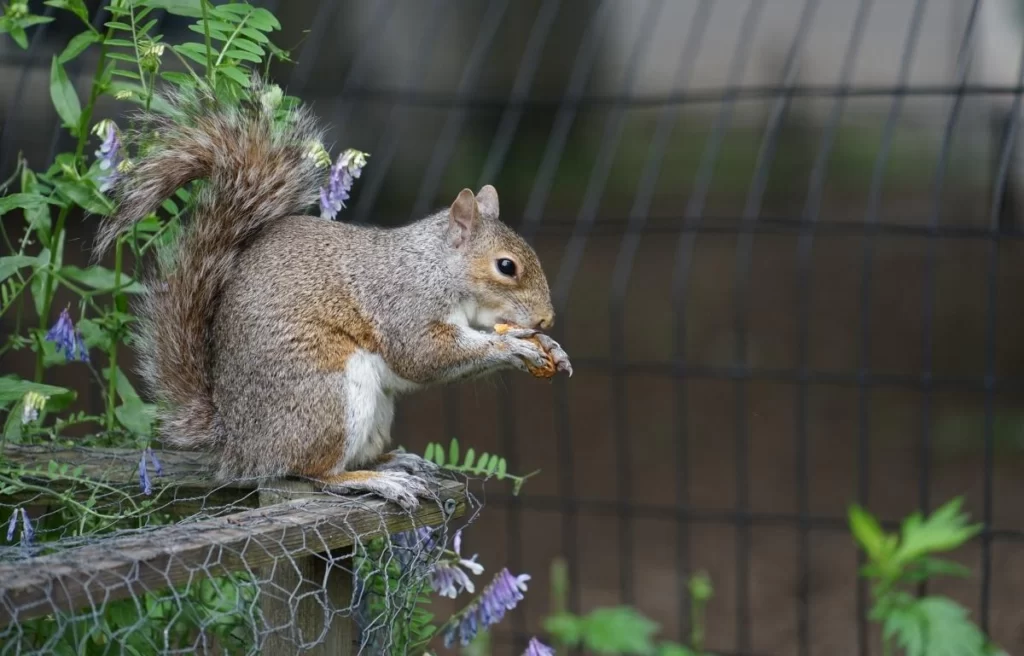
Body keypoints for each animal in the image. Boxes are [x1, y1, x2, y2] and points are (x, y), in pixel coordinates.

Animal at [94, 81, 577, 509]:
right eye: (506, 266)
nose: (546, 320)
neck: (435, 267)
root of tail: (237, 443)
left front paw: (550, 346)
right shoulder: (403, 303)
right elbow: (424, 355)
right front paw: (514, 346)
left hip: (375, 411)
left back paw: (395, 461)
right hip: (328, 396)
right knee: (313, 472)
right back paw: (374, 481)